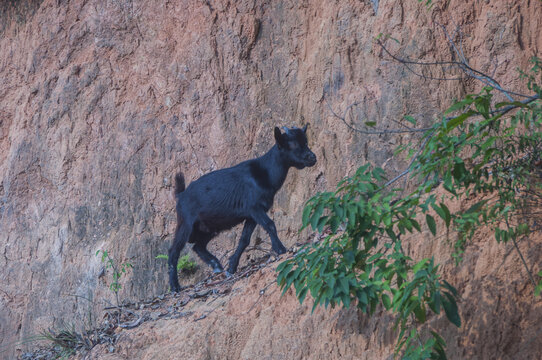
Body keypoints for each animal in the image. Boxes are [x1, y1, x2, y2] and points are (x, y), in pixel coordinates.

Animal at [168, 126, 316, 292]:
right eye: (293, 145)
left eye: (306, 141)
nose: (312, 157)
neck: (264, 173)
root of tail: (181, 195)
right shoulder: (254, 208)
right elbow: (270, 225)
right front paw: (280, 249)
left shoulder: (251, 216)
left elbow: (244, 239)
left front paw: (231, 267)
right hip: (186, 223)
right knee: (174, 251)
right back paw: (175, 286)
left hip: (209, 227)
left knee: (198, 246)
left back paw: (217, 265)